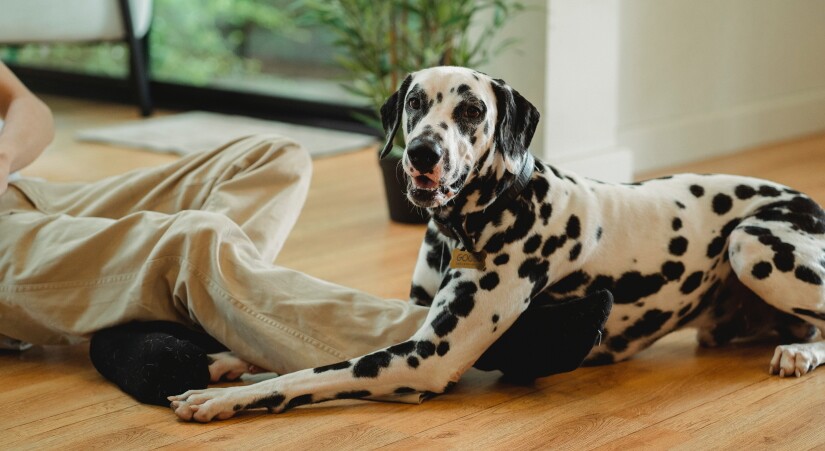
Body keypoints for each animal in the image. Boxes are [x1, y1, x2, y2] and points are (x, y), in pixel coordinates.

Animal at [169, 67, 824, 424]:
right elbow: (318, 338)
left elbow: (312, 372)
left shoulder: (422, 358)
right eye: (415, 103)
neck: (470, 224)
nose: (422, 153)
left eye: (470, 109)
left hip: (752, 243)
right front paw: (225, 360)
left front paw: (220, 396)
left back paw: (799, 353)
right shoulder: (412, 320)